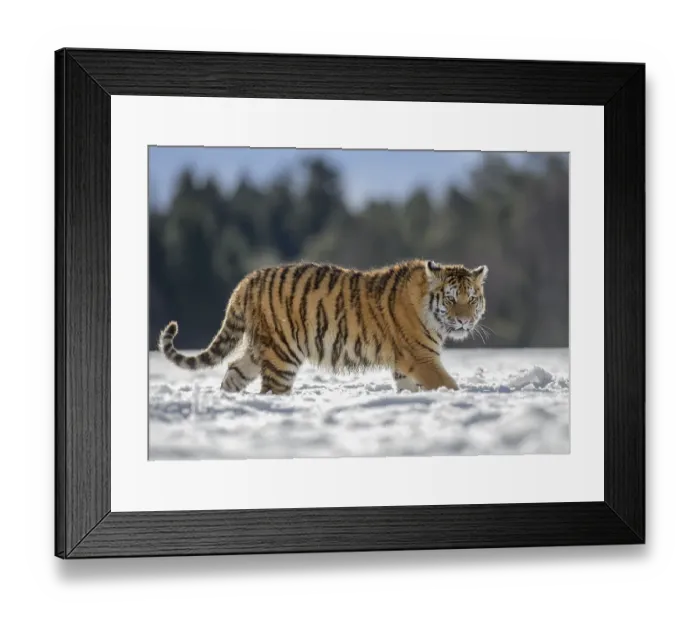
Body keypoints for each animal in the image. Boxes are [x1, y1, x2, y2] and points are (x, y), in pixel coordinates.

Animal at [158, 259, 488, 395]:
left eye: (472, 298)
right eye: (451, 298)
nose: (464, 320)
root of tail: (246, 281)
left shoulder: (404, 364)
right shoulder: (422, 358)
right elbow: (448, 383)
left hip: (258, 349)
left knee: (233, 371)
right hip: (282, 354)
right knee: (271, 389)